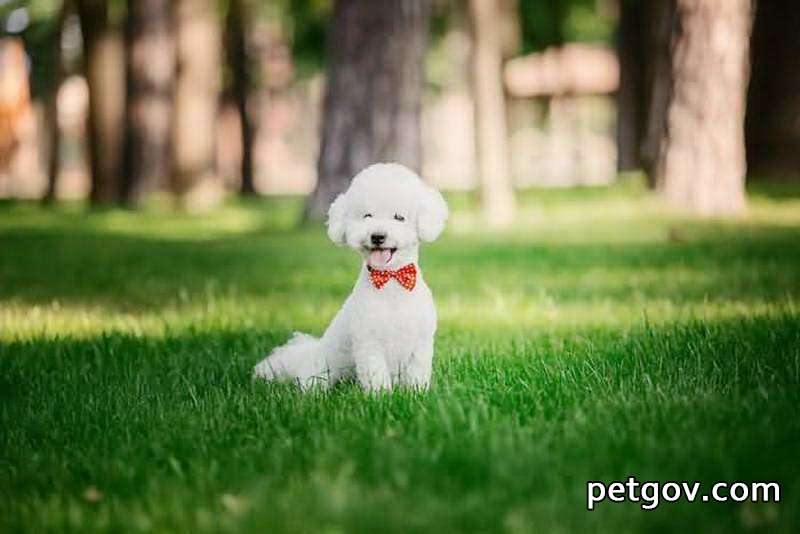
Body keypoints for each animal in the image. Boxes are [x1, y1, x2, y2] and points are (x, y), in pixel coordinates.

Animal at [253, 163, 446, 394]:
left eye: (399, 217)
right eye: (367, 216)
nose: (378, 236)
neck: (391, 283)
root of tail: (310, 353)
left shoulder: (420, 343)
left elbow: (416, 373)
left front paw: (415, 393)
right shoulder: (369, 342)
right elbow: (376, 374)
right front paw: (381, 396)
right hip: (321, 369)